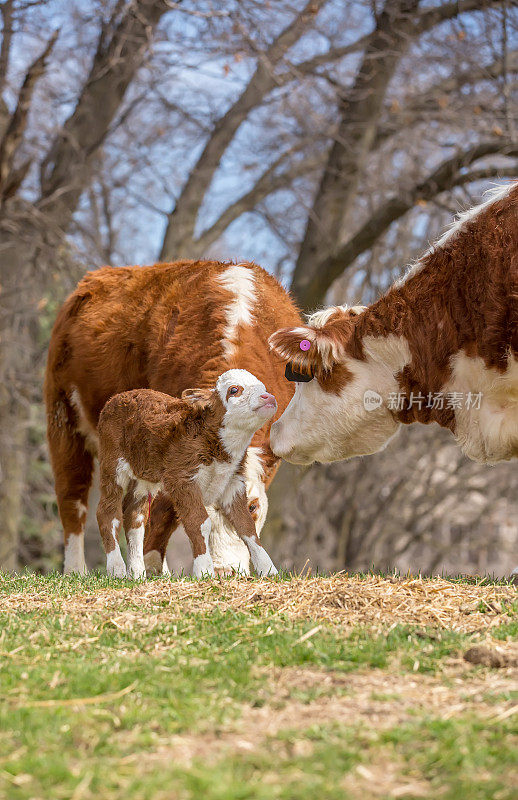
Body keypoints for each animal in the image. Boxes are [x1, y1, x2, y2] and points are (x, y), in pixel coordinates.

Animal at [95, 372, 278, 580]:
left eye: (263, 387)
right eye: (234, 390)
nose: (268, 397)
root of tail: (116, 398)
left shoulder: (233, 482)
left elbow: (246, 525)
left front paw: (269, 569)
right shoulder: (182, 478)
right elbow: (199, 521)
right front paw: (204, 570)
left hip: (144, 476)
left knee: (134, 515)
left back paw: (136, 572)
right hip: (112, 464)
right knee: (107, 511)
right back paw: (116, 569)